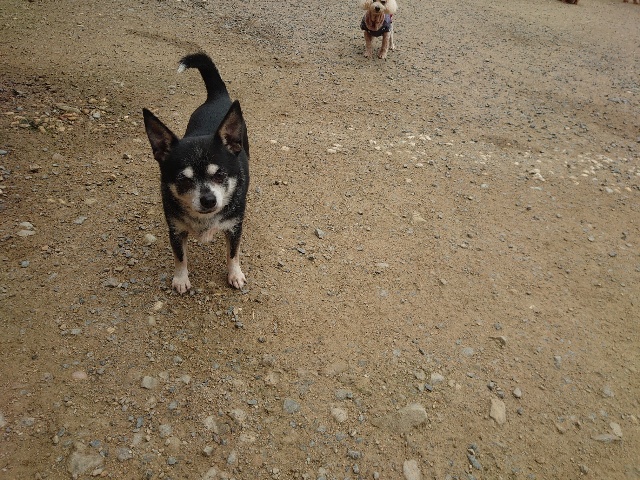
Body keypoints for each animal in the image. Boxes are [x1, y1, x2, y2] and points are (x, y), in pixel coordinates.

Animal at [143, 52, 250, 293]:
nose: (208, 200)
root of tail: (217, 96)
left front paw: (235, 274)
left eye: (219, 175)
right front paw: (181, 279)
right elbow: (180, 257)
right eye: (183, 179)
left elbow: (233, 253)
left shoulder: (234, 227)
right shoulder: (175, 230)